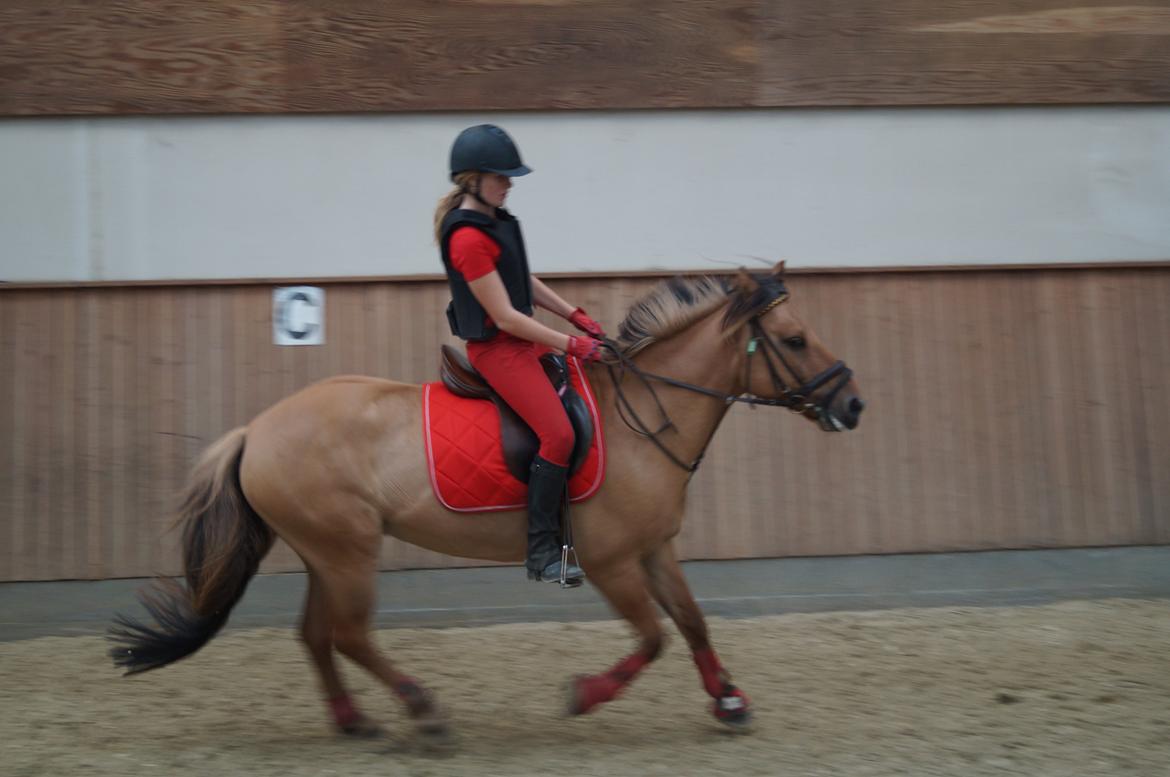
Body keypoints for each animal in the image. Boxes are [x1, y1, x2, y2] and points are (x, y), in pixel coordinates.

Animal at [109, 263, 864, 743]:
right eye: (794, 340)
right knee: (349, 634)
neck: (643, 419)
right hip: (347, 548)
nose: (853, 403)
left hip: (328, 550)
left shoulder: (654, 548)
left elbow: (694, 623)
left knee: (318, 635)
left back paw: (356, 721)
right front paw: (585, 694)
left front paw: (729, 701)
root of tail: (256, 430)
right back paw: (424, 712)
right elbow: (652, 636)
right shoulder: (612, 560)